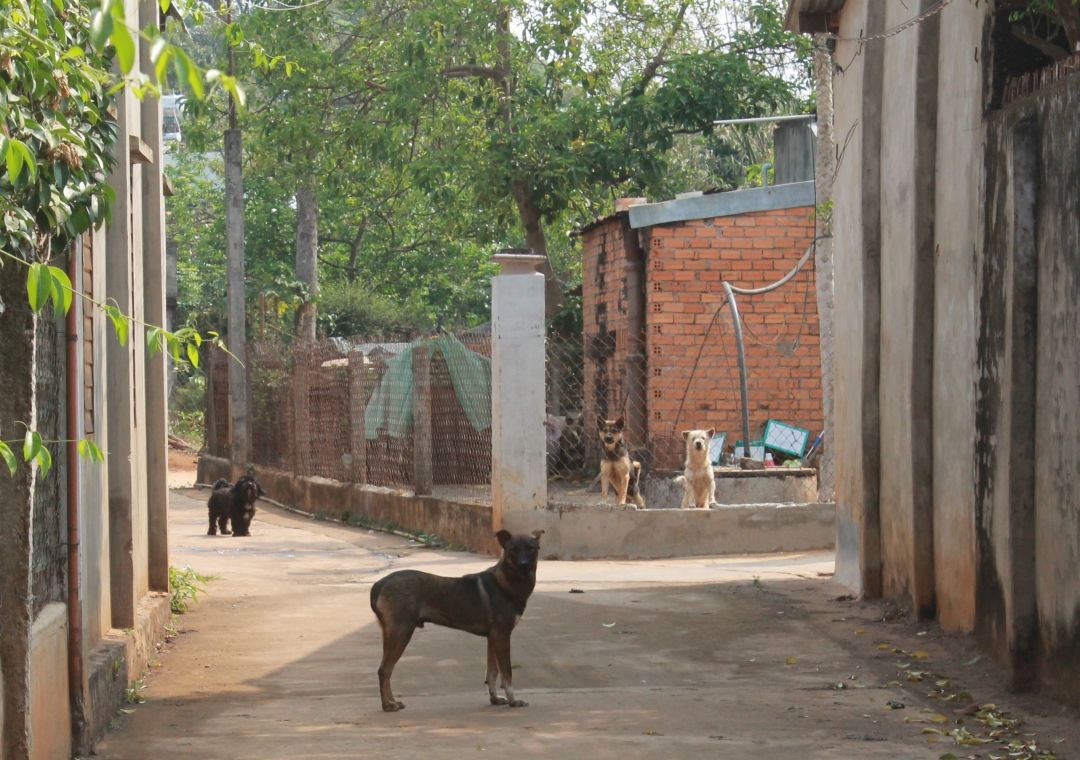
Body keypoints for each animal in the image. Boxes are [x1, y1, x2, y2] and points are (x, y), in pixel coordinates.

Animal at [369, 528, 544, 712]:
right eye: (513, 549)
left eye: (531, 548)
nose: (524, 565)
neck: (505, 583)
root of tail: (379, 584)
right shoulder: (502, 635)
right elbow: (507, 673)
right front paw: (513, 701)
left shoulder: (492, 637)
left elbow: (492, 672)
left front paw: (495, 699)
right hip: (402, 631)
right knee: (384, 669)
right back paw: (387, 705)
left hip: (390, 634)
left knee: (387, 670)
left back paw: (392, 701)